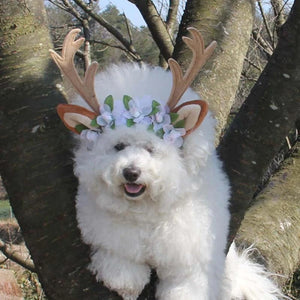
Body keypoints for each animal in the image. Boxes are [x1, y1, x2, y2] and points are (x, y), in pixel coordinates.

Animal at [50, 28, 288, 300]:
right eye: (119, 146)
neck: (148, 211)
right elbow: (122, 269)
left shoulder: (190, 259)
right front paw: (126, 284)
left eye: (151, 149)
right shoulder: (115, 239)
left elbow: (187, 287)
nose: (130, 172)